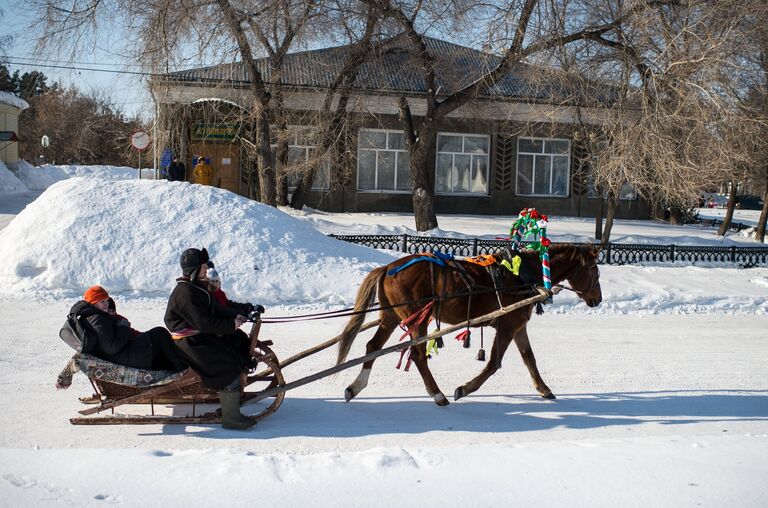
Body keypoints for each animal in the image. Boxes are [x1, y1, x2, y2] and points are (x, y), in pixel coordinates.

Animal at [334, 244, 600, 406]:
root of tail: (388, 267)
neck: (522, 274)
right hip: (417, 319)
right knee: (418, 355)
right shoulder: (507, 325)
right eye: (595, 272)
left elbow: (529, 359)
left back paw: (355, 386)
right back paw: (438, 394)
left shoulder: (518, 325)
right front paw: (464, 388)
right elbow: (494, 363)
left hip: (392, 317)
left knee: (372, 346)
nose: (597, 299)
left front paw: (544, 389)